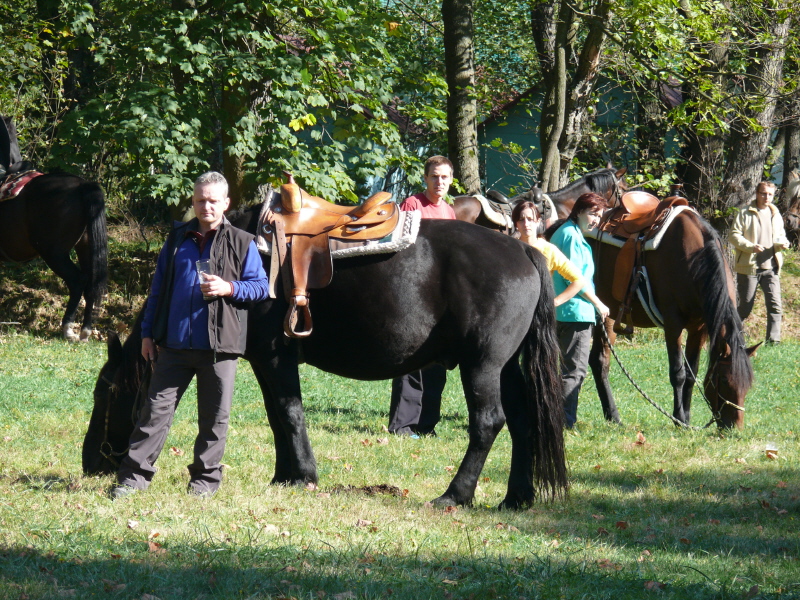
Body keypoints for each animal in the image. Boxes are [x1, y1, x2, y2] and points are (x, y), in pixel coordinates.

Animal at [0, 173, 108, 342]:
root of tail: (82, 184)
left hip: (54, 254)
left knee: (77, 281)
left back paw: (68, 329)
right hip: (85, 248)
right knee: (91, 285)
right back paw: (85, 332)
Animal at [84, 213, 564, 508]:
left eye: (106, 392)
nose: (92, 461)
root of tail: (522, 250)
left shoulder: (275, 356)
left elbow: (289, 412)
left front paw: (303, 475)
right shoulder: (265, 361)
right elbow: (277, 415)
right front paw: (284, 475)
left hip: (481, 365)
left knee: (487, 423)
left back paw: (455, 495)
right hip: (505, 367)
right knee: (522, 421)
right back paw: (516, 497)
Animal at [588, 209, 756, 428]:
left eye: (748, 384)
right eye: (725, 380)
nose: (734, 427)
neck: (694, 262)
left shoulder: (698, 328)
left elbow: (692, 374)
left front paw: (687, 417)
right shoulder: (673, 325)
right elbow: (678, 373)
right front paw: (679, 418)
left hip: (608, 313)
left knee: (600, 360)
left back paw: (612, 416)